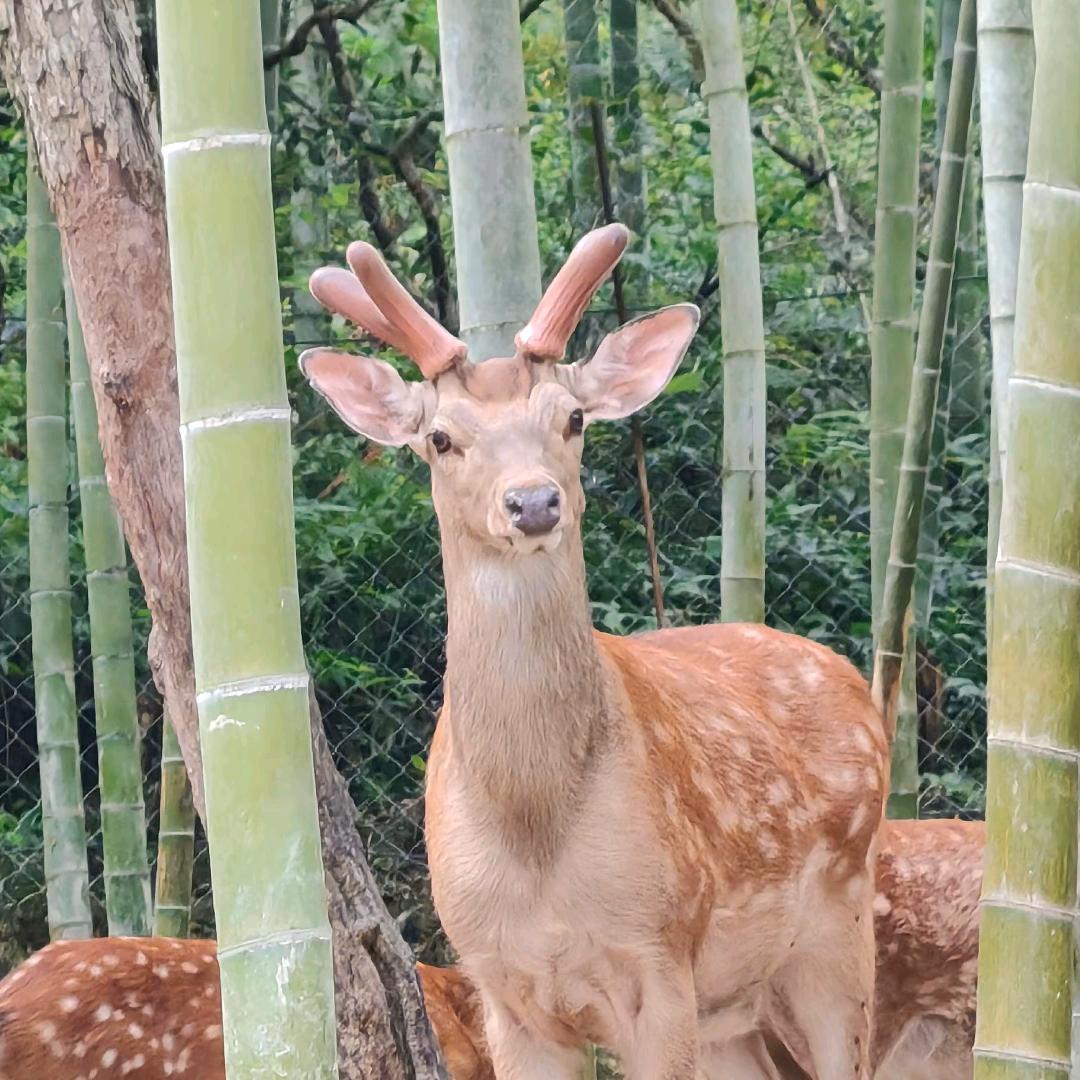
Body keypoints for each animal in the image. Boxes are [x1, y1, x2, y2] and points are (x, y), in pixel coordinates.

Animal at [297, 222, 891, 1078]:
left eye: (574, 418)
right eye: (440, 437)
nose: (533, 501)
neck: (536, 837)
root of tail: (855, 683)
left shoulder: (661, 952)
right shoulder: (499, 984)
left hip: (840, 928)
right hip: (735, 1011)